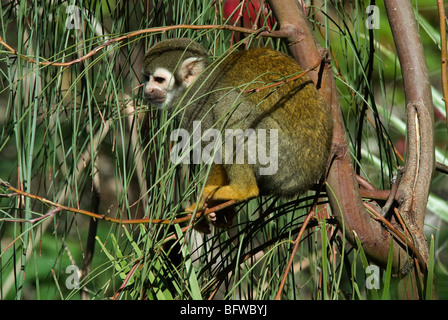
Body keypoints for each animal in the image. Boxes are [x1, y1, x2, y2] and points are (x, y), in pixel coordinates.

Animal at [144, 38, 332, 231]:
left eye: (159, 80)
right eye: (147, 78)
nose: (147, 90)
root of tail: (308, 176)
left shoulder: (200, 106)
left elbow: (214, 147)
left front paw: (202, 206)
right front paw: (214, 212)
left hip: (282, 155)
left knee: (229, 105)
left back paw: (242, 190)